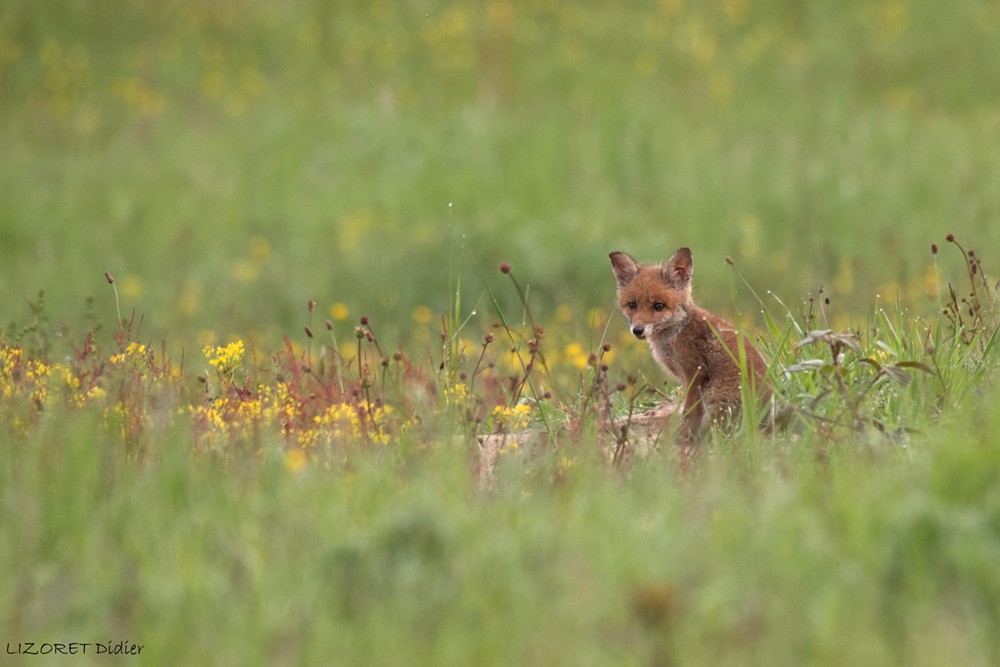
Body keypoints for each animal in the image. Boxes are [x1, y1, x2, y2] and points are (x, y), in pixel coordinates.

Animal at [609, 247, 770, 444]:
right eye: (632, 305)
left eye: (658, 306)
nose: (638, 330)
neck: (676, 333)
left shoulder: (695, 372)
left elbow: (689, 412)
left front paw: (681, 437)